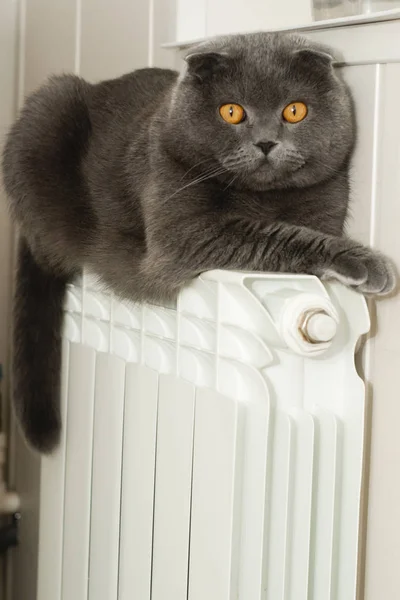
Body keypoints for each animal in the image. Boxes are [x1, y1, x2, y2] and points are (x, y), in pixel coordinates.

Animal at [0, 30, 396, 452]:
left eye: (294, 111)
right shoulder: (181, 233)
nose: (266, 143)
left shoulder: (327, 203)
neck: (263, 199)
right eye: (232, 112)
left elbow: (306, 229)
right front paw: (369, 264)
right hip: (49, 108)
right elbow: (276, 235)